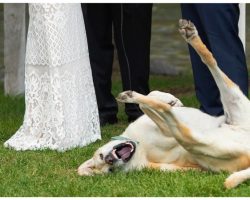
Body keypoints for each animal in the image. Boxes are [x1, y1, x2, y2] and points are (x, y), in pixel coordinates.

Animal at [77, 19, 250, 189]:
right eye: (110, 170)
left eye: (101, 156)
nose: (110, 160)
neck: (139, 145)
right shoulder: (166, 136)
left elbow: (149, 101)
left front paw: (171, 99)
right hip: (203, 141)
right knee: (178, 125)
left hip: (234, 102)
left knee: (210, 60)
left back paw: (190, 35)